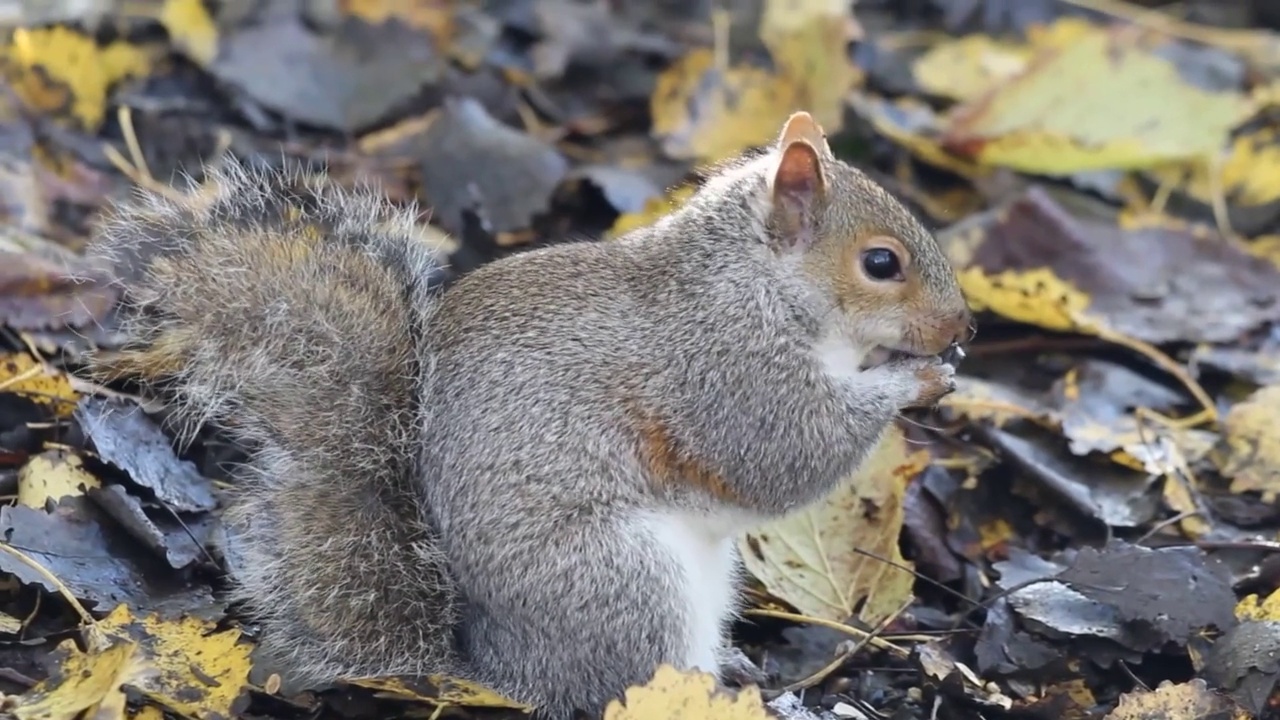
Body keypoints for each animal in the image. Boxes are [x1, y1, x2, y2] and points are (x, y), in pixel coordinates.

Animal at [87, 112, 967, 717]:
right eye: (880, 263)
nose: (962, 327)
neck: (753, 283)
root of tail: (494, 673)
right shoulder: (721, 370)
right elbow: (782, 454)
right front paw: (914, 381)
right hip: (626, 583)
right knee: (619, 689)